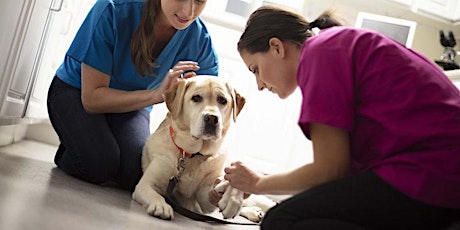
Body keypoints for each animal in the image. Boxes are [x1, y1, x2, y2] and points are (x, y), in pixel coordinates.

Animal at [132, 75, 270, 221]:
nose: (212, 118)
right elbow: (155, 194)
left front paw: (233, 196)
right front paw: (161, 206)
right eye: (196, 98)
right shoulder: (146, 184)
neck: (193, 155)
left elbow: (230, 184)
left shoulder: (205, 197)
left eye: (222, 100)